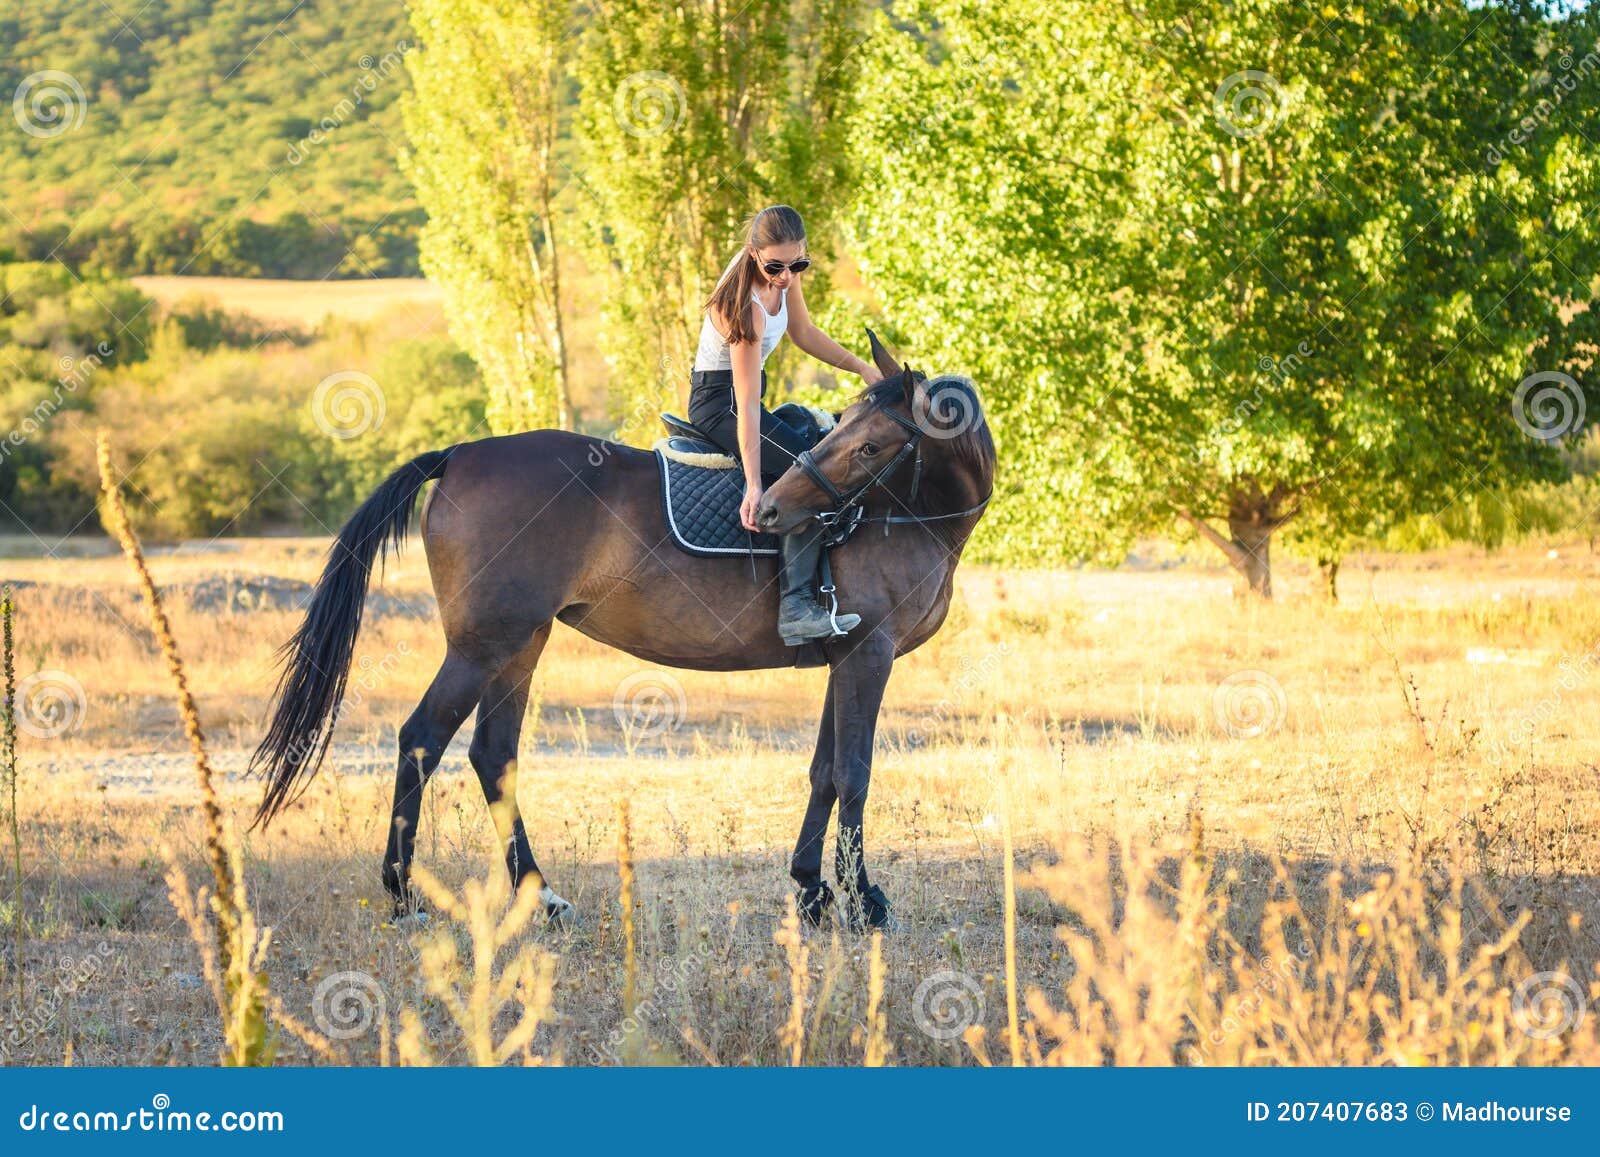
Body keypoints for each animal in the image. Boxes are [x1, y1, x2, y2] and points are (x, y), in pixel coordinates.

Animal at [249, 334, 992, 934]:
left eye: (869, 444)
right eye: (845, 439)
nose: (775, 511)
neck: (907, 511)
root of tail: (459, 454)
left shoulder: (843, 658)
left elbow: (823, 773)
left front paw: (811, 893)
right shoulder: (869, 654)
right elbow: (854, 773)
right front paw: (864, 902)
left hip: (520, 645)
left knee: (493, 754)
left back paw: (542, 898)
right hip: (483, 646)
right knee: (422, 740)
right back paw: (405, 897)